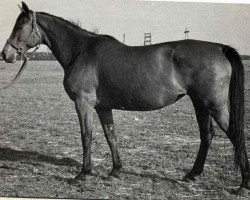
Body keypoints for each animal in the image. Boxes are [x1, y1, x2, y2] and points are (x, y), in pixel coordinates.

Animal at [1, 1, 250, 195]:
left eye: (20, 25)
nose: (6, 54)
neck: (81, 51)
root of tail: (218, 48)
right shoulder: (102, 107)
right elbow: (111, 136)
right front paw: (115, 171)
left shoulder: (83, 103)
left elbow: (86, 136)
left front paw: (83, 173)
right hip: (200, 104)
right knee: (207, 135)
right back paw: (192, 174)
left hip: (214, 105)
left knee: (235, 134)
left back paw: (243, 185)